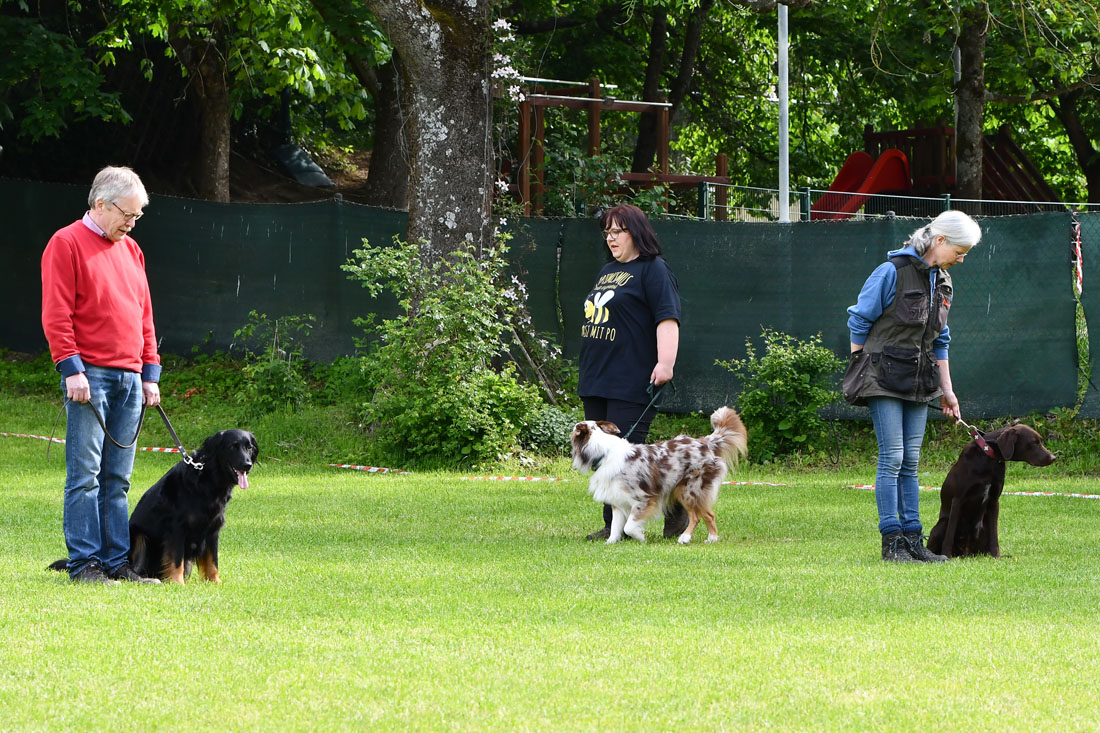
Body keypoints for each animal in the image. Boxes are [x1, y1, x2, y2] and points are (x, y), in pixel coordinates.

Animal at [50, 429, 257, 581]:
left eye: (249, 447)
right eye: (232, 447)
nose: (247, 465)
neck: (207, 479)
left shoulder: (212, 529)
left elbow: (213, 561)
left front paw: (215, 583)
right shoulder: (176, 528)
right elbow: (176, 559)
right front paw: (177, 583)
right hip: (139, 536)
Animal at [576, 405, 748, 541]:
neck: (604, 452)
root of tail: (705, 442)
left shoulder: (644, 498)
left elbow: (629, 527)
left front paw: (640, 537)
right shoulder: (617, 499)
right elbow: (615, 526)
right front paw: (611, 542)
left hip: (688, 489)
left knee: (701, 515)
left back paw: (690, 538)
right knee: (705, 515)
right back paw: (707, 538)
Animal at [928, 420, 1056, 556]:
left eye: (1040, 441)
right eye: (1034, 443)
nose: (1053, 458)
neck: (989, 457)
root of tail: (966, 553)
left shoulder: (994, 501)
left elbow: (994, 536)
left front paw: (997, 557)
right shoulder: (957, 499)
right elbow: (950, 535)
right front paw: (946, 555)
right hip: (941, 524)